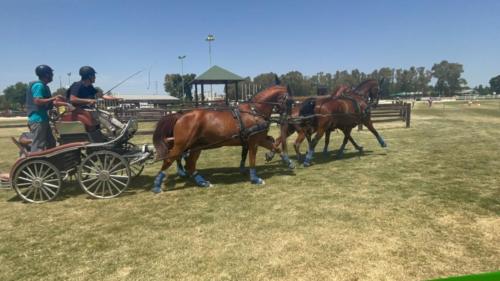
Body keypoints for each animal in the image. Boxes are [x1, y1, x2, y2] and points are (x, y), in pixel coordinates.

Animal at [150, 84, 292, 191]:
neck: (254, 111)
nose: (288, 117)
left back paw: (202, 182)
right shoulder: (253, 141)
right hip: (181, 145)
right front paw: (255, 179)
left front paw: (288, 162)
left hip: (197, 146)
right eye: (289, 100)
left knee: (190, 164)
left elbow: (275, 146)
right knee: (170, 159)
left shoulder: (259, 139)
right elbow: (252, 159)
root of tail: (180, 115)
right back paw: (157, 185)